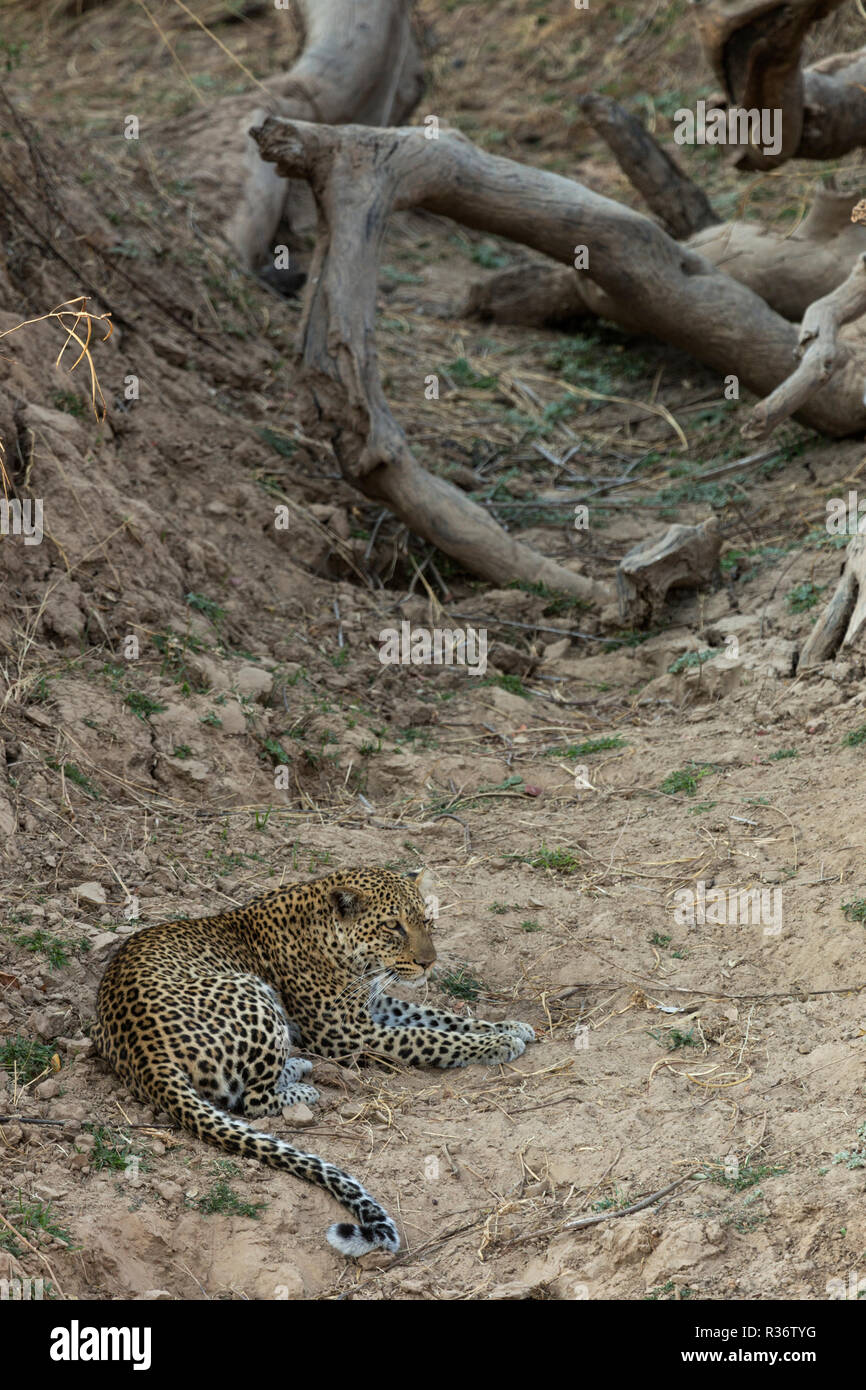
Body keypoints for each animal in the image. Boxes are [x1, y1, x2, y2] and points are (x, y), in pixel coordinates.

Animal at [93, 861, 536, 1256]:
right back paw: (302, 1081)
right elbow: (426, 1036)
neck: (338, 941)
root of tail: (145, 1052)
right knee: (252, 1100)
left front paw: (511, 1026)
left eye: (426, 921)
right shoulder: (347, 1032)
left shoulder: (374, 1005)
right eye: (393, 926)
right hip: (252, 991)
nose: (429, 962)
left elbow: (437, 1017)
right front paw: (497, 1044)